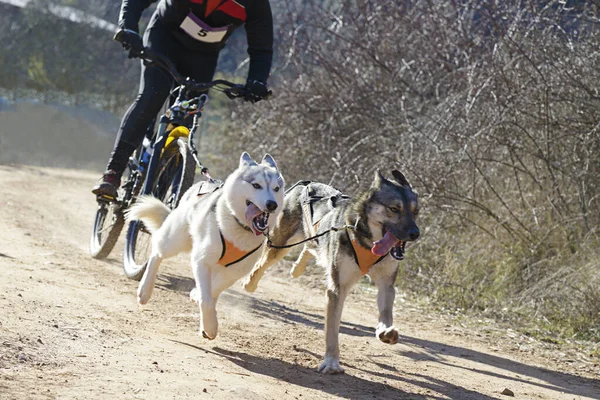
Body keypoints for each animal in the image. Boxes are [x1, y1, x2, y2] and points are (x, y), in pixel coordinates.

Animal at [125, 152, 284, 340]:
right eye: (256, 185)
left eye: (276, 188)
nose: (272, 204)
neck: (240, 228)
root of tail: (201, 184)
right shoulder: (202, 260)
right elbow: (206, 298)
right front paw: (210, 326)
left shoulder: (234, 271)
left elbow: (214, 289)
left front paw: (198, 298)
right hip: (174, 241)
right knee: (157, 253)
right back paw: (145, 290)